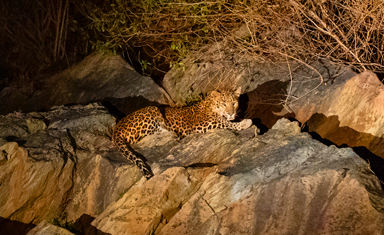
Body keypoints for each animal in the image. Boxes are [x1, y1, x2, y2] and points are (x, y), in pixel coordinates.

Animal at [112, 87, 254, 179]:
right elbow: (224, 123)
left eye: (234, 103)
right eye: (224, 104)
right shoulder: (202, 125)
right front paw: (246, 122)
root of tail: (116, 127)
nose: (231, 113)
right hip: (153, 110)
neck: (211, 105)